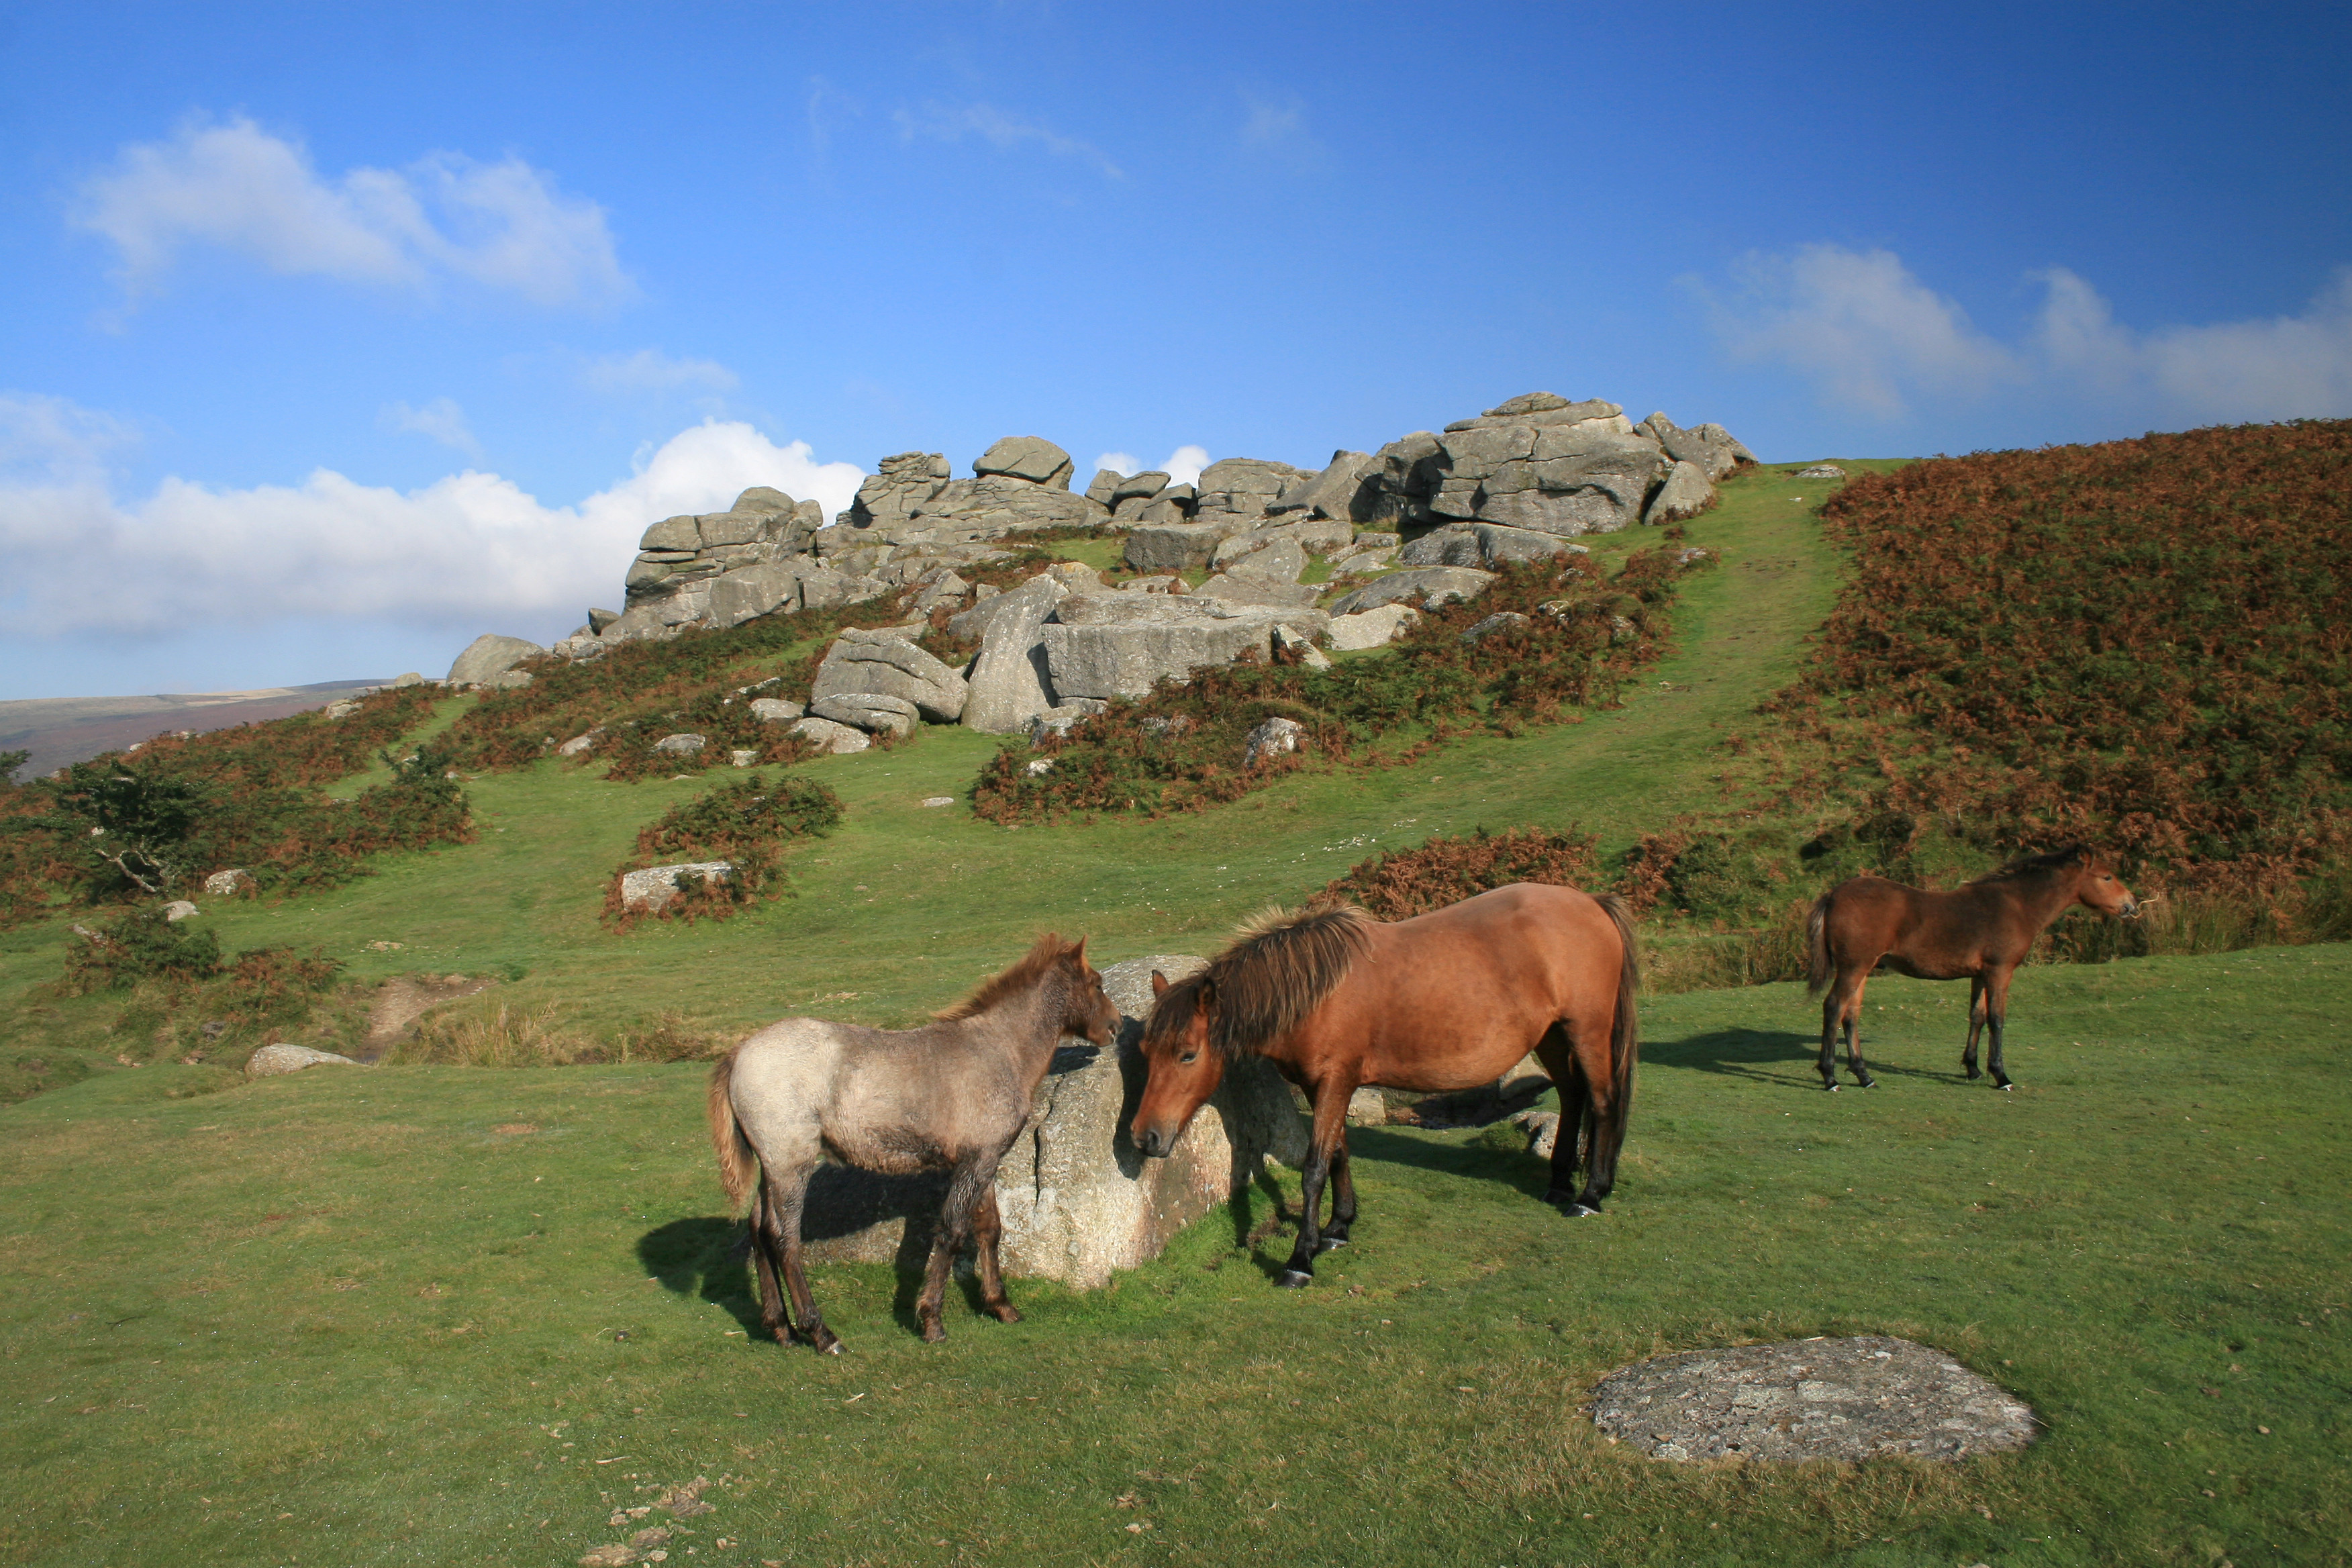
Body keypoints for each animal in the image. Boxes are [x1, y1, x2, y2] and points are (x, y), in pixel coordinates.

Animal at [707, 934, 1118, 1352]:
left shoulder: (983, 1159)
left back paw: (780, 1328)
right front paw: (932, 1320)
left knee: (759, 1229)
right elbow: (953, 1231)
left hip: (771, 1168)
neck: (997, 1049)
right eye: (1097, 984)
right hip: (792, 1166)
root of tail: (739, 1053)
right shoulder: (976, 1162)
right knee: (784, 1238)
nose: (1115, 1027)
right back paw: (820, 1332)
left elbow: (990, 1229)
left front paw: (1001, 1305)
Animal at [1130, 883, 1639, 1289]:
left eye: (1187, 1054)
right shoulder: (1324, 1086)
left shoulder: (1335, 1081)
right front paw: (1338, 1228)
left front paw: (1300, 1259)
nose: (1144, 1137)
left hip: (1587, 1031)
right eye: (1146, 1052)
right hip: (1552, 1035)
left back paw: (1590, 1195)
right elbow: (1339, 1151)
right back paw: (1559, 1184)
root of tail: (1592, 903)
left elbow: (1314, 1167)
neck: (1318, 992)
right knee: (1573, 1096)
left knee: (1602, 1101)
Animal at [1806, 845, 2140, 1092]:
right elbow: (1997, 1019)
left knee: (1851, 1015)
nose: (2132, 904)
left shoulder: (1980, 974)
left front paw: (1974, 1069)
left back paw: (1864, 1076)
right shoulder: (2000, 970)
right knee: (1834, 1007)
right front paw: (2001, 1075)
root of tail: (1833, 895)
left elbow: (1977, 1016)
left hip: (1863, 968)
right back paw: (1830, 1077)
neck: (2016, 906)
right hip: (1854, 967)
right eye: (2107, 877)